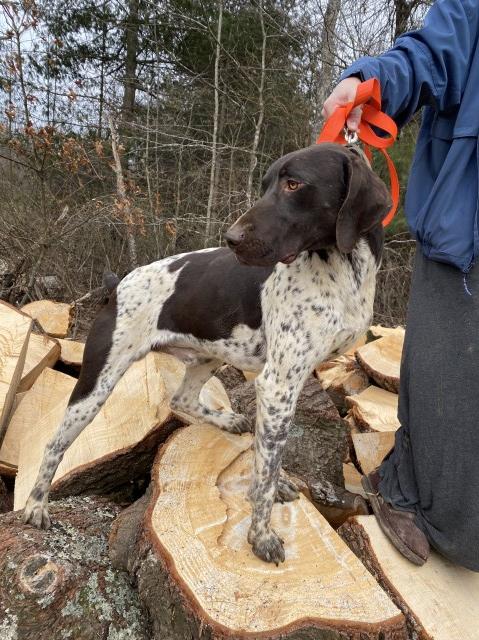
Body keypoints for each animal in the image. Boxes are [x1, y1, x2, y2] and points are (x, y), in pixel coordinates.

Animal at [22, 142, 392, 564]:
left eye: (294, 184)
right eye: (266, 184)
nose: (230, 238)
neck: (343, 275)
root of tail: (119, 285)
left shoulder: (281, 384)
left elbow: (269, 457)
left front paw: (273, 485)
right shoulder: (278, 383)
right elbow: (265, 474)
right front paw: (261, 535)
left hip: (210, 354)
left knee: (182, 399)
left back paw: (228, 420)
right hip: (97, 383)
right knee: (54, 444)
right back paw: (36, 505)